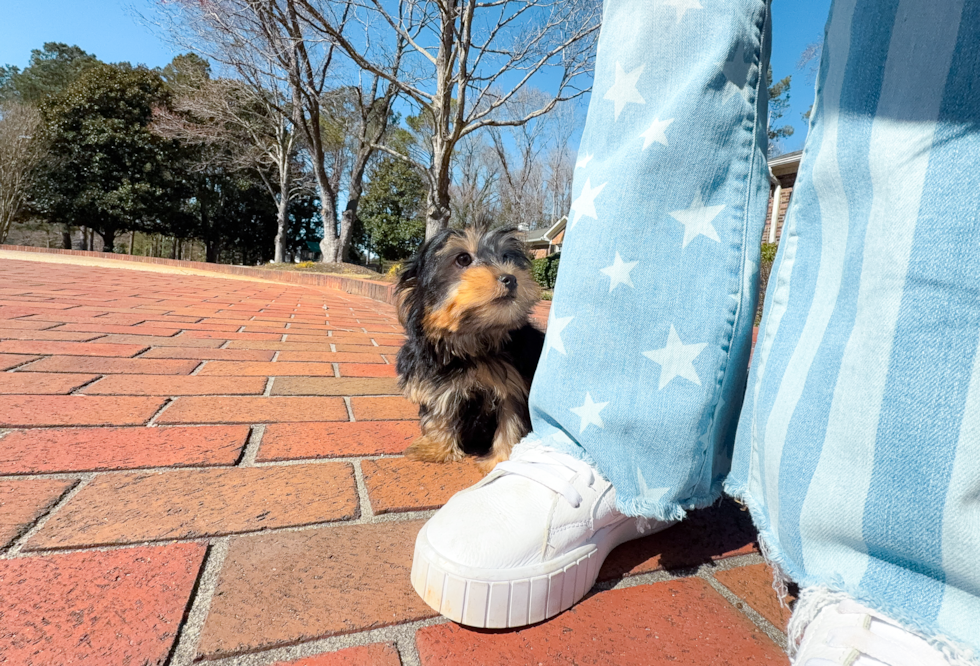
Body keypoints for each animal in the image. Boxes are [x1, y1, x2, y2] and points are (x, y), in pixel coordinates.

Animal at [396, 226, 548, 470]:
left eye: (506, 257)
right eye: (463, 259)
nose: (510, 278)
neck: (472, 342)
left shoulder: (513, 385)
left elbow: (511, 419)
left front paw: (501, 460)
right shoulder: (434, 381)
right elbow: (439, 411)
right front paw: (436, 448)